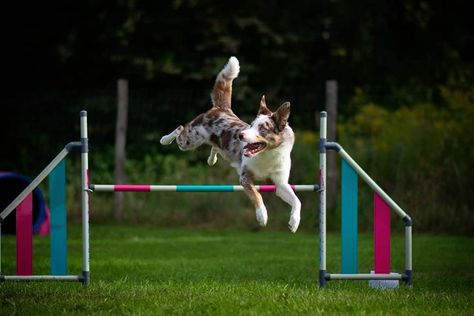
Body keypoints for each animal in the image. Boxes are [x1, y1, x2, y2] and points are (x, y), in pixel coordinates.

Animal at [160, 56, 300, 232]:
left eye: (262, 128)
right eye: (251, 125)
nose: (241, 135)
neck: (267, 155)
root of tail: (221, 108)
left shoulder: (280, 184)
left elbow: (297, 201)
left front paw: (294, 223)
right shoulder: (245, 177)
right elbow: (257, 194)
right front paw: (262, 216)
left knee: (214, 146)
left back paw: (211, 160)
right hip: (188, 140)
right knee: (179, 129)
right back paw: (165, 139)